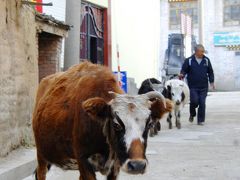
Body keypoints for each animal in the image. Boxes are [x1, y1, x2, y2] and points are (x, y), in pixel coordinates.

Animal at [32, 61, 172, 179]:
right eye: (116, 124)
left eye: (149, 124)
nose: (137, 165)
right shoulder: (84, 161)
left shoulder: (114, 166)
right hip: (41, 155)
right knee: (40, 173)